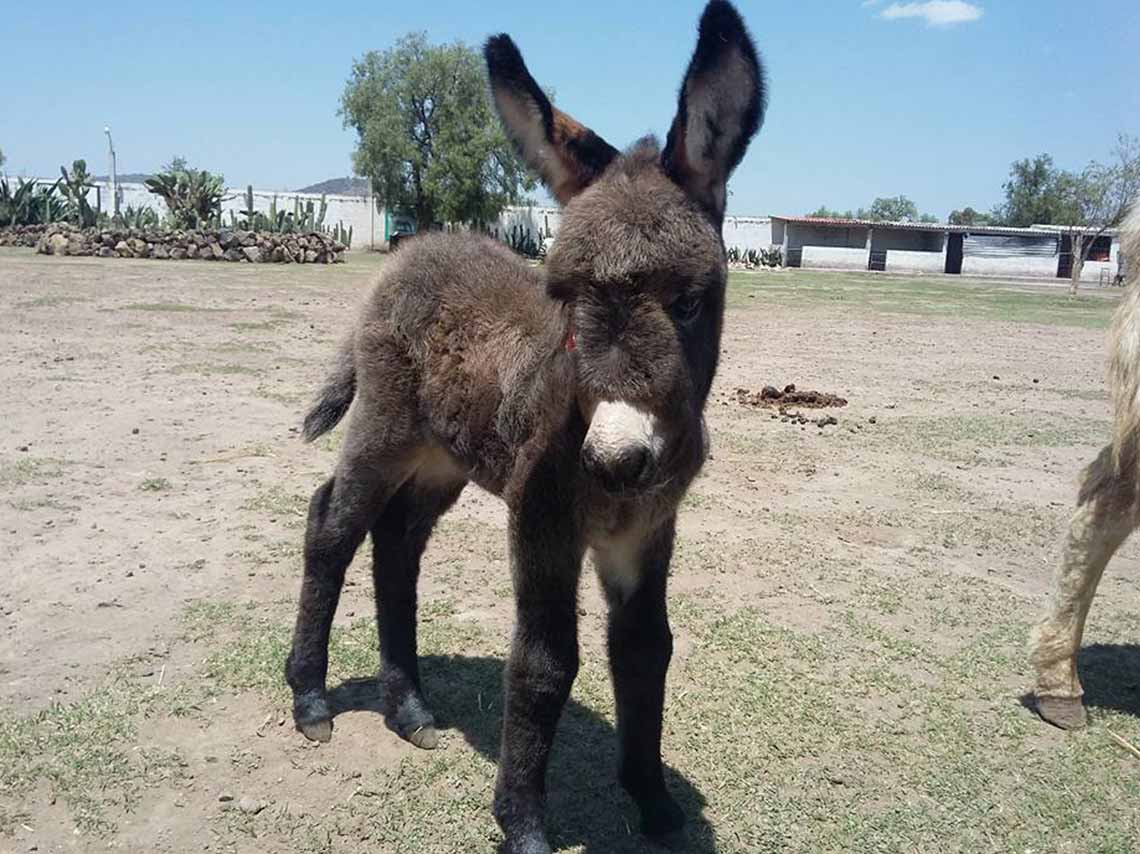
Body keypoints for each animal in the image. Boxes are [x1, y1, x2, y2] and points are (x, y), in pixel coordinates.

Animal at [285, 4, 766, 848]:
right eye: (564, 298)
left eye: (689, 302)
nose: (612, 461)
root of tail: (411, 250)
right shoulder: (543, 518)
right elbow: (545, 662)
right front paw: (524, 822)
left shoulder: (649, 528)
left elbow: (647, 649)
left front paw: (653, 802)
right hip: (385, 428)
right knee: (333, 525)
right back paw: (310, 699)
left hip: (442, 459)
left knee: (396, 544)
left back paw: (409, 709)